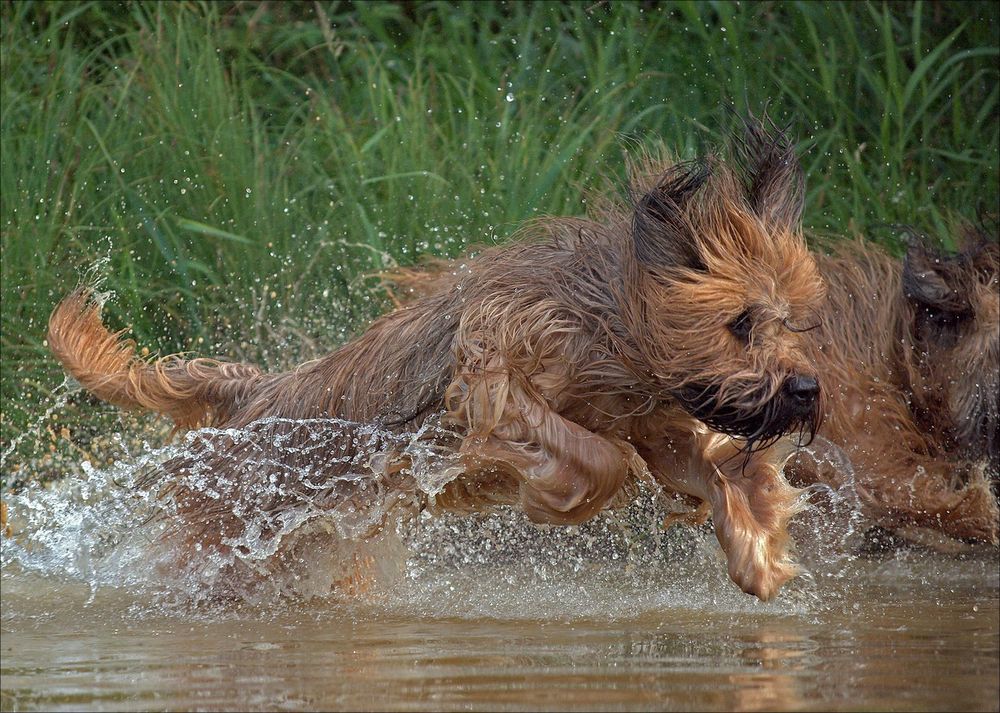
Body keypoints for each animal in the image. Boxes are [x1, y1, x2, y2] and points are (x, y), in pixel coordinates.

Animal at [47, 122, 824, 600]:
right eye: (740, 323)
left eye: (791, 319)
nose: (808, 389)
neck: (603, 323)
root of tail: (250, 396)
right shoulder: (493, 382)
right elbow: (596, 456)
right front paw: (572, 495)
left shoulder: (651, 420)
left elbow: (707, 469)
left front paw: (758, 547)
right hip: (224, 539)